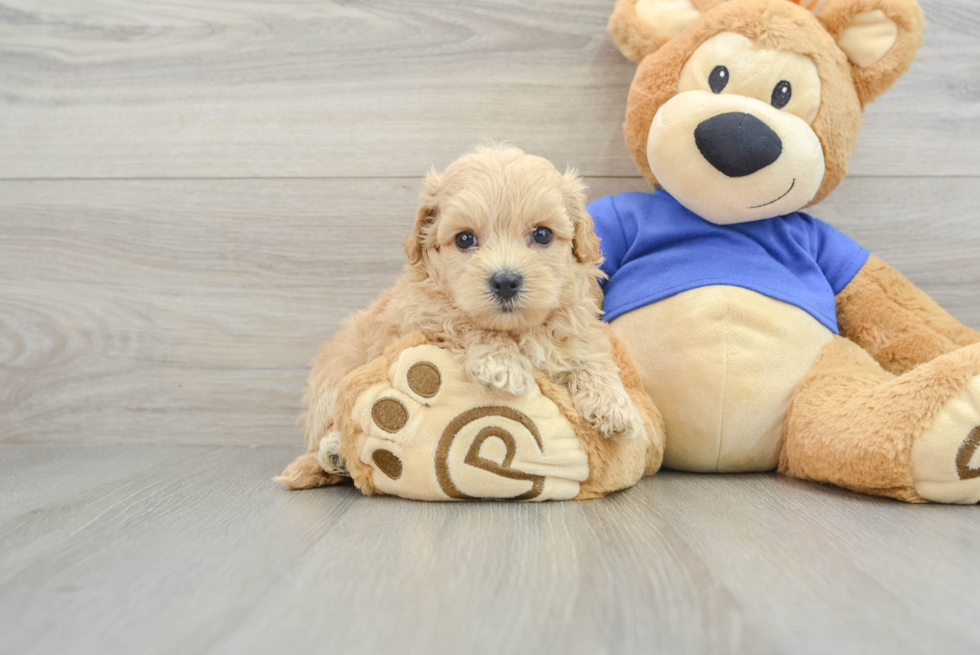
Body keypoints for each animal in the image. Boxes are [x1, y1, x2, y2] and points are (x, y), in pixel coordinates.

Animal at [282, 146, 652, 490]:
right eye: (464, 239)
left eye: (543, 234)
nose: (505, 281)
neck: (515, 329)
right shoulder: (423, 314)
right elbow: (462, 322)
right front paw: (501, 363)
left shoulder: (574, 322)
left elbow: (588, 354)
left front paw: (614, 405)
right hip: (337, 373)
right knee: (330, 428)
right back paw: (335, 452)